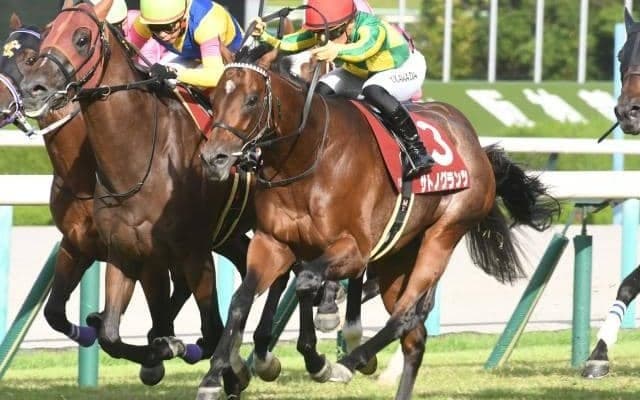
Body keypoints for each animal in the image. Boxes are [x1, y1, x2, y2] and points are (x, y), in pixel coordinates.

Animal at [0, 13, 199, 383]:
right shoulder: (76, 243)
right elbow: (55, 312)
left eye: (30, 58)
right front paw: (89, 329)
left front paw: (158, 352)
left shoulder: (136, 251)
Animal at [194, 43, 560, 400]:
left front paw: (318, 358)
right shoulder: (274, 243)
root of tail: (476, 146)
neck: (309, 155)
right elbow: (242, 300)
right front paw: (216, 377)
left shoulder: (355, 250)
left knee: (406, 314)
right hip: (398, 258)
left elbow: (308, 282)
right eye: (215, 98)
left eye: (252, 99)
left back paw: (350, 363)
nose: (214, 158)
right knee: (415, 336)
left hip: (444, 233)